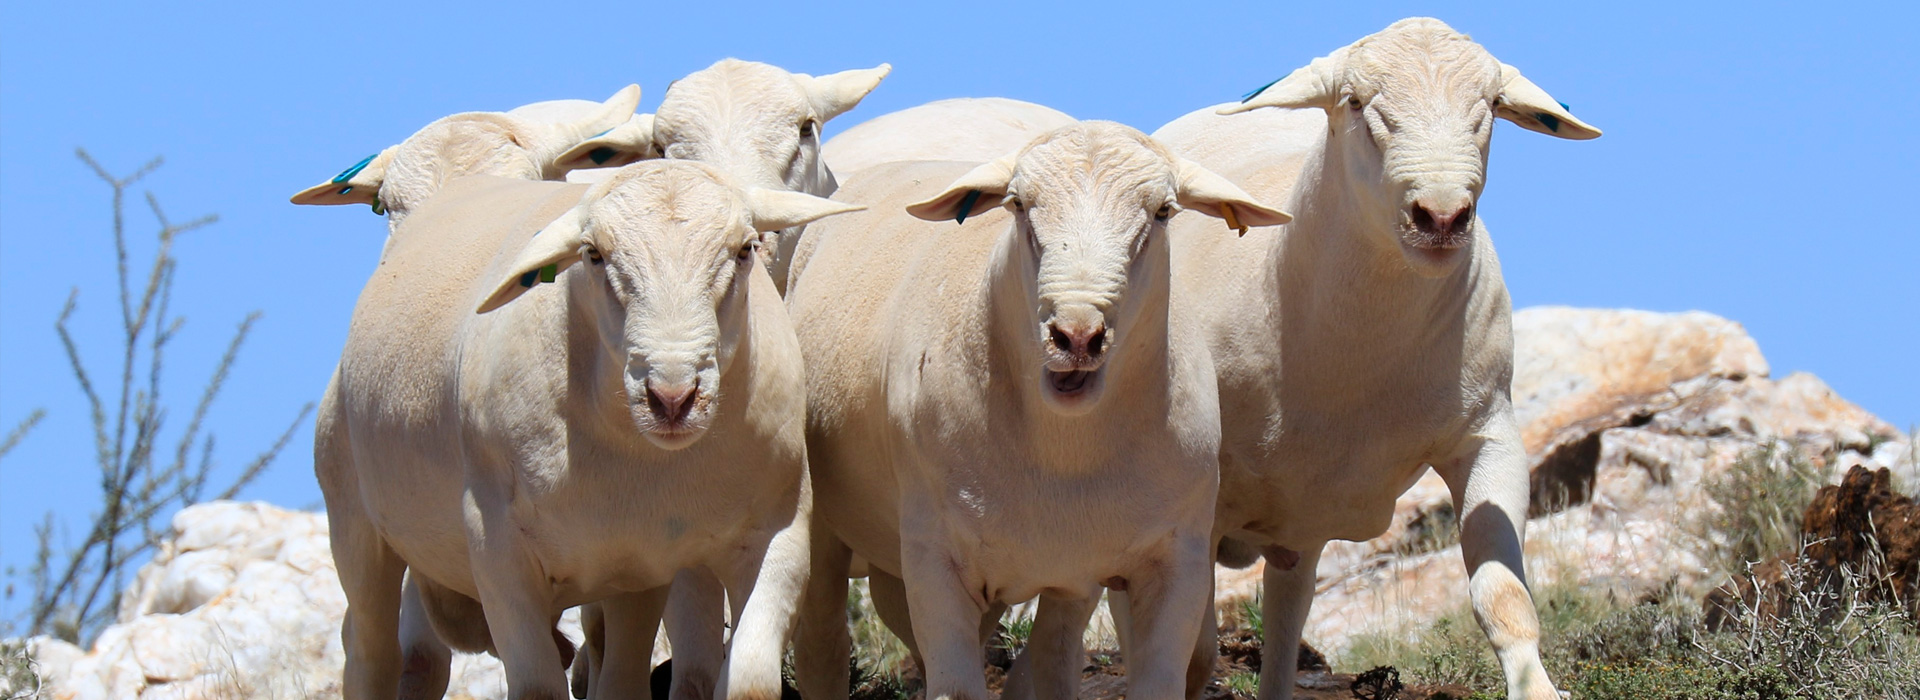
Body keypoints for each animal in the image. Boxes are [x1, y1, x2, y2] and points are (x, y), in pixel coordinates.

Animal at [314, 160, 861, 700]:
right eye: (594, 255)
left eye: (745, 249)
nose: (672, 398)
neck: (642, 455)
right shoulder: (496, 547)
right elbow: (537, 689)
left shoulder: (777, 530)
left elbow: (750, 683)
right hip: (354, 519)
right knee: (371, 649)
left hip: (629, 571)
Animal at [783, 120, 1289, 700]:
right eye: (1018, 204)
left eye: (1163, 211)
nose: (1077, 335)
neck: (1064, 454)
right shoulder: (935, 559)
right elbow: (955, 688)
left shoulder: (1170, 560)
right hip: (826, 524)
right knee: (823, 642)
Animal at [1149, 17, 1601, 700]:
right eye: (1358, 104)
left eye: (1491, 108)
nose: (1441, 216)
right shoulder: (1198, 493)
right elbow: (1190, 647)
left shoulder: (1487, 432)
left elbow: (1504, 600)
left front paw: (1536, 688)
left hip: (1299, 526)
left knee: (1285, 613)